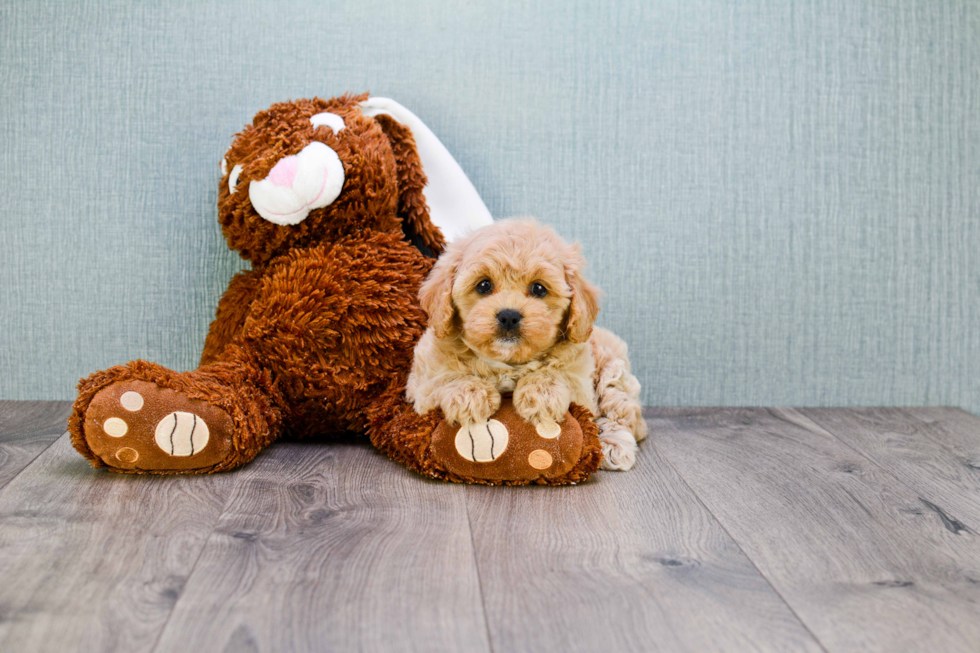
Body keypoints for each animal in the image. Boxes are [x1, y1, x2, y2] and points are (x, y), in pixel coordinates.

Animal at [410, 219, 648, 468]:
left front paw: (541, 394)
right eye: (483, 285)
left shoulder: (582, 385)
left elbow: (557, 374)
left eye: (539, 288)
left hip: (614, 370)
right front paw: (471, 396)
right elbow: (445, 378)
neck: (508, 362)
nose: (508, 316)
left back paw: (614, 446)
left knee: (622, 413)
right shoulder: (421, 382)